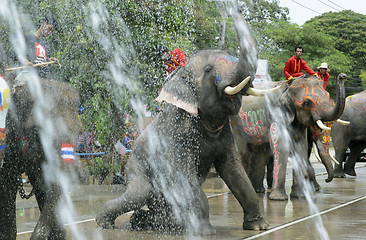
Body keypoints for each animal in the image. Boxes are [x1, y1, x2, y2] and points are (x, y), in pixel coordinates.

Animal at [96, 9, 270, 234]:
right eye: (208, 69)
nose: (235, 9)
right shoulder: (176, 136)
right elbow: (186, 177)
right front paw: (205, 231)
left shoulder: (225, 138)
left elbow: (234, 171)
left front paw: (258, 227)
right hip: (135, 165)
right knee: (138, 193)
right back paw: (104, 223)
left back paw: (146, 222)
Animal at [232, 73, 346, 201]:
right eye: (307, 102)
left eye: (328, 95)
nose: (342, 76)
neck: (288, 88)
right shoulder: (276, 115)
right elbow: (281, 147)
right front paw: (278, 199)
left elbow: (301, 148)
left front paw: (299, 196)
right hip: (236, 123)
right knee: (244, 152)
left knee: (262, 152)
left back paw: (258, 191)